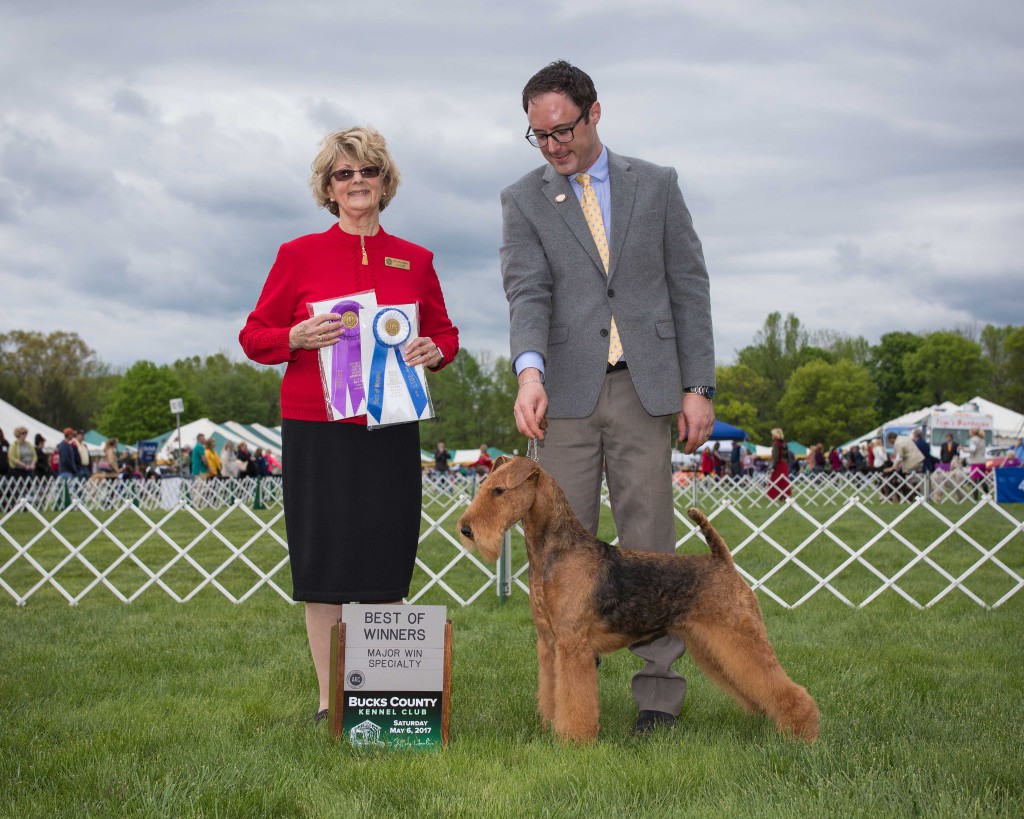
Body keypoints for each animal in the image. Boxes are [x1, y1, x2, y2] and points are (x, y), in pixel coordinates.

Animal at [456, 456, 815, 745]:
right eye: (486, 486)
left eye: (499, 491)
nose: (466, 530)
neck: (556, 551)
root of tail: (722, 561)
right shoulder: (548, 643)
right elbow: (551, 690)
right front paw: (548, 726)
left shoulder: (573, 646)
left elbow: (574, 698)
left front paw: (573, 739)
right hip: (712, 644)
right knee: (754, 685)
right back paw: (768, 719)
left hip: (737, 634)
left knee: (784, 686)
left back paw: (801, 731)